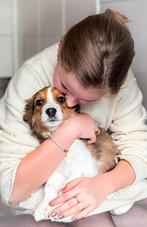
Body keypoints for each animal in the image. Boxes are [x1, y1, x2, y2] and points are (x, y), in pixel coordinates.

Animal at [22, 86, 117, 222]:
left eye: (61, 99)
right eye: (39, 102)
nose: (51, 111)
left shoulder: (85, 164)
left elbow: (66, 187)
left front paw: (59, 210)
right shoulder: (57, 171)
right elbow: (49, 187)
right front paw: (43, 208)